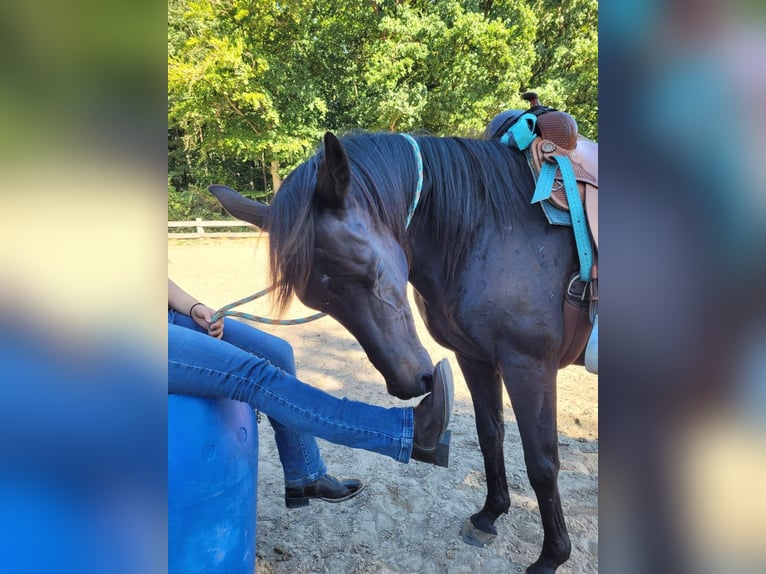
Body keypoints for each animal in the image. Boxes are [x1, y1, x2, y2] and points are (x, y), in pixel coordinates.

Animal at [210, 129, 585, 573]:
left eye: (374, 273)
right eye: (320, 303)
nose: (410, 383)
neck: (493, 228)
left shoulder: (529, 365)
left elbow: (542, 462)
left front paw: (551, 557)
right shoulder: (475, 358)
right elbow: (490, 434)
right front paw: (489, 515)